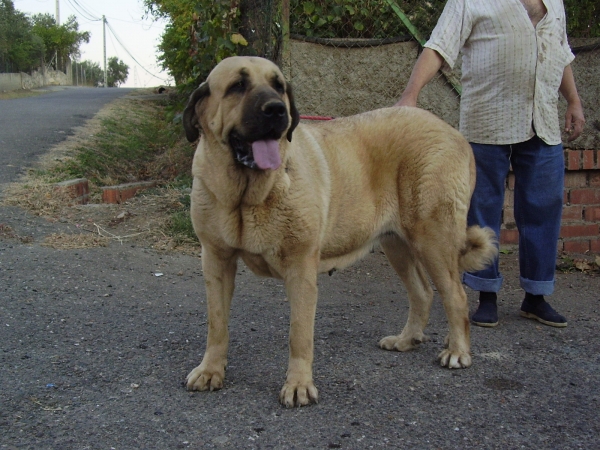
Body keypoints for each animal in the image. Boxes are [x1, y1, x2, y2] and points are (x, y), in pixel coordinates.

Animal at [183, 56, 496, 408]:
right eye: (238, 85)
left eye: (279, 86)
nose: (277, 110)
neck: (247, 195)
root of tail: (455, 133)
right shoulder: (216, 261)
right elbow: (217, 323)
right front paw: (211, 370)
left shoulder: (301, 268)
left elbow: (299, 334)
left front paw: (298, 385)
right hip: (398, 245)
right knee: (422, 292)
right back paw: (405, 340)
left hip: (433, 239)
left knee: (455, 296)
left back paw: (457, 351)